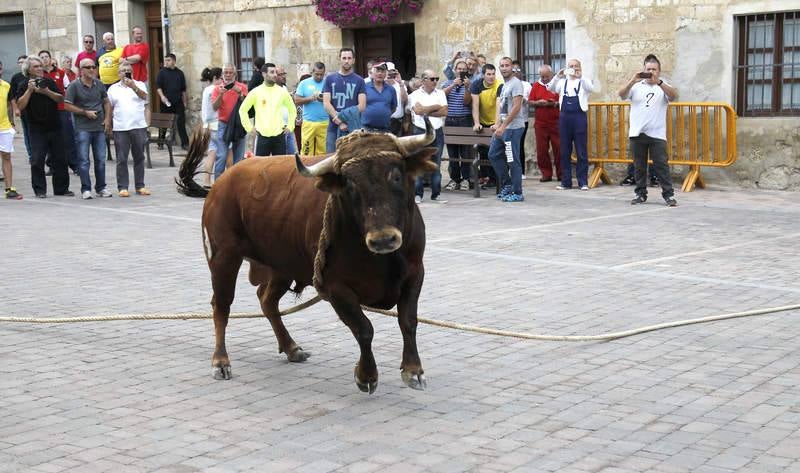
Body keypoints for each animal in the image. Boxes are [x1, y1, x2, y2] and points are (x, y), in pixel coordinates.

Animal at [177, 120, 438, 392]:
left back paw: (291, 348)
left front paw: (413, 370)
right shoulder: (334, 286)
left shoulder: (415, 274)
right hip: (223, 258)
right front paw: (366, 376)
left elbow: (408, 321)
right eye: (350, 184)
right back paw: (221, 362)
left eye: (396, 176)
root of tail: (222, 182)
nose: (384, 239)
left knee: (267, 300)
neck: (383, 260)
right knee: (222, 306)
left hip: (281, 265)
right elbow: (363, 328)